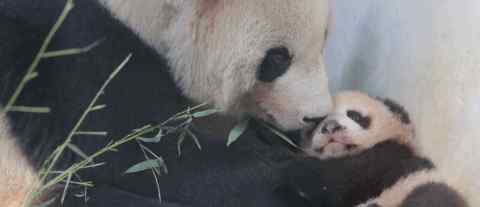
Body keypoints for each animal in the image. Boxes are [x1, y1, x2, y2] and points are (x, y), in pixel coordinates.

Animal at [0, 0, 332, 207]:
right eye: (277, 58)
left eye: (324, 40)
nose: (316, 117)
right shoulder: (75, 52)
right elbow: (142, 157)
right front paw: (296, 175)